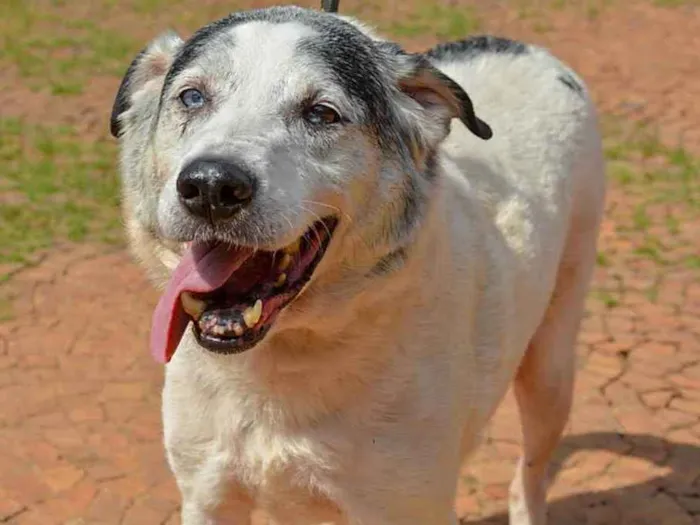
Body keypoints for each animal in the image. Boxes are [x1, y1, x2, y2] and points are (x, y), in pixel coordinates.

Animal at [112, 6, 604, 520]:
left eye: (321, 113)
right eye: (192, 97)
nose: (210, 186)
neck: (279, 367)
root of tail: (524, 47)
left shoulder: (407, 507)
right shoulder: (207, 497)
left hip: (551, 369)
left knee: (529, 474)